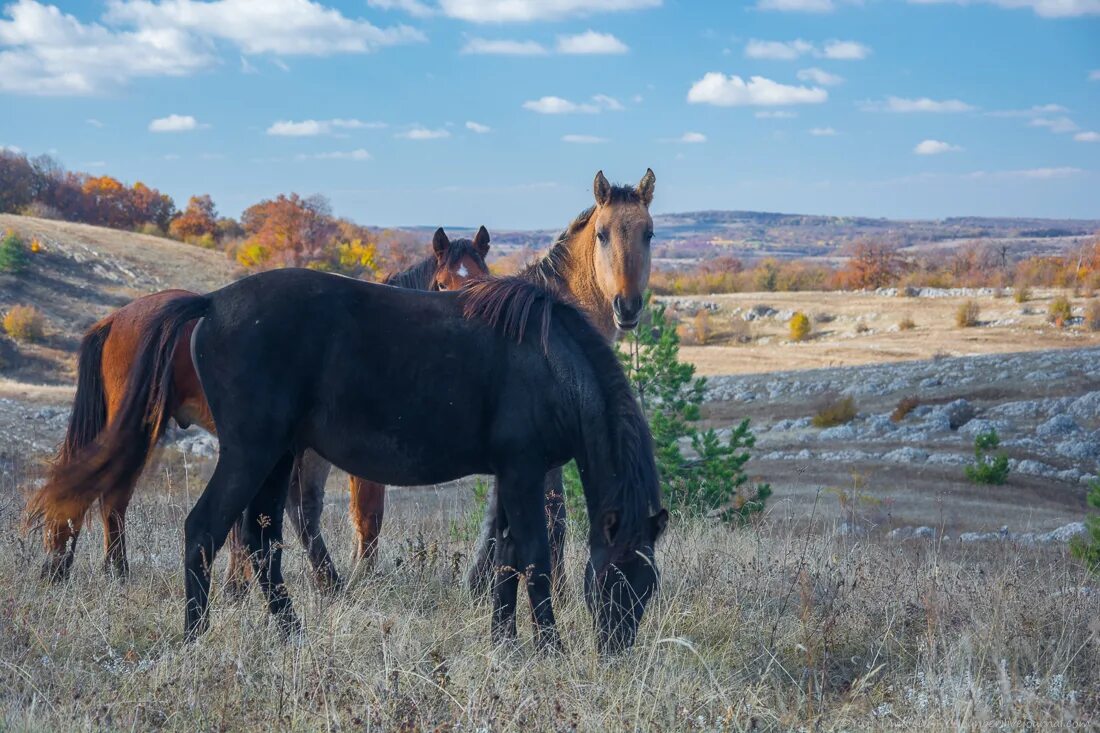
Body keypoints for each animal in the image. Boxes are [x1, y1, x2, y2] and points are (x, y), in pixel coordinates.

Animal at [26, 225, 490, 585]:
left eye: (484, 276)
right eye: (443, 284)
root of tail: (115, 319)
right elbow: (360, 515)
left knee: (107, 494)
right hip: (142, 428)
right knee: (111, 494)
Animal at [27, 269, 668, 651]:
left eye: (649, 585)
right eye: (616, 578)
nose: (615, 652)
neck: (552, 362)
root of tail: (209, 304)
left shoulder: (514, 476)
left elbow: (507, 558)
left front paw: (506, 643)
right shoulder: (523, 472)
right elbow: (533, 557)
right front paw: (548, 647)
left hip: (277, 458)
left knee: (261, 543)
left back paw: (291, 636)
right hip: (252, 453)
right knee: (204, 530)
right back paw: (195, 638)